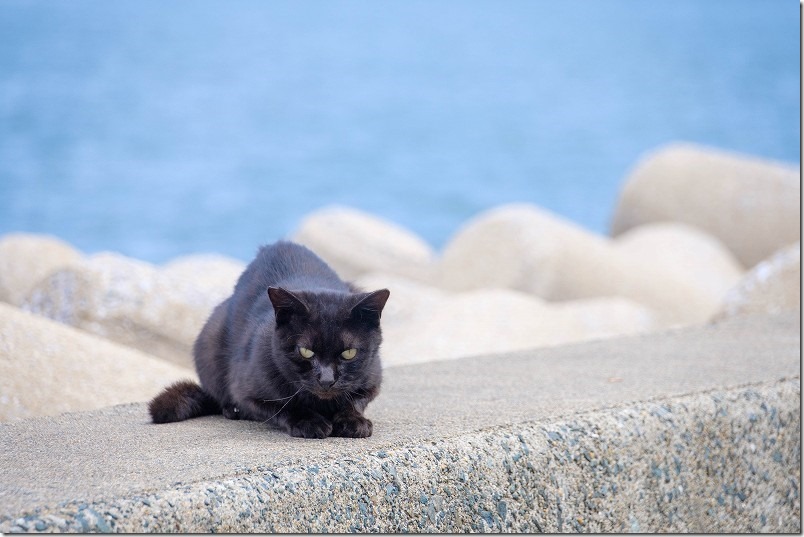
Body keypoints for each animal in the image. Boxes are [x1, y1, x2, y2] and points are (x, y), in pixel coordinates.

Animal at [151, 241, 392, 438]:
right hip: (210, 340)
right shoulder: (248, 392)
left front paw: (353, 421)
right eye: (305, 351)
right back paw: (231, 410)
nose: (326, 380)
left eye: (348, 353)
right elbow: (283, 406)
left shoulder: (372, 380)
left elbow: (355, 400)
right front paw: (309, 422)